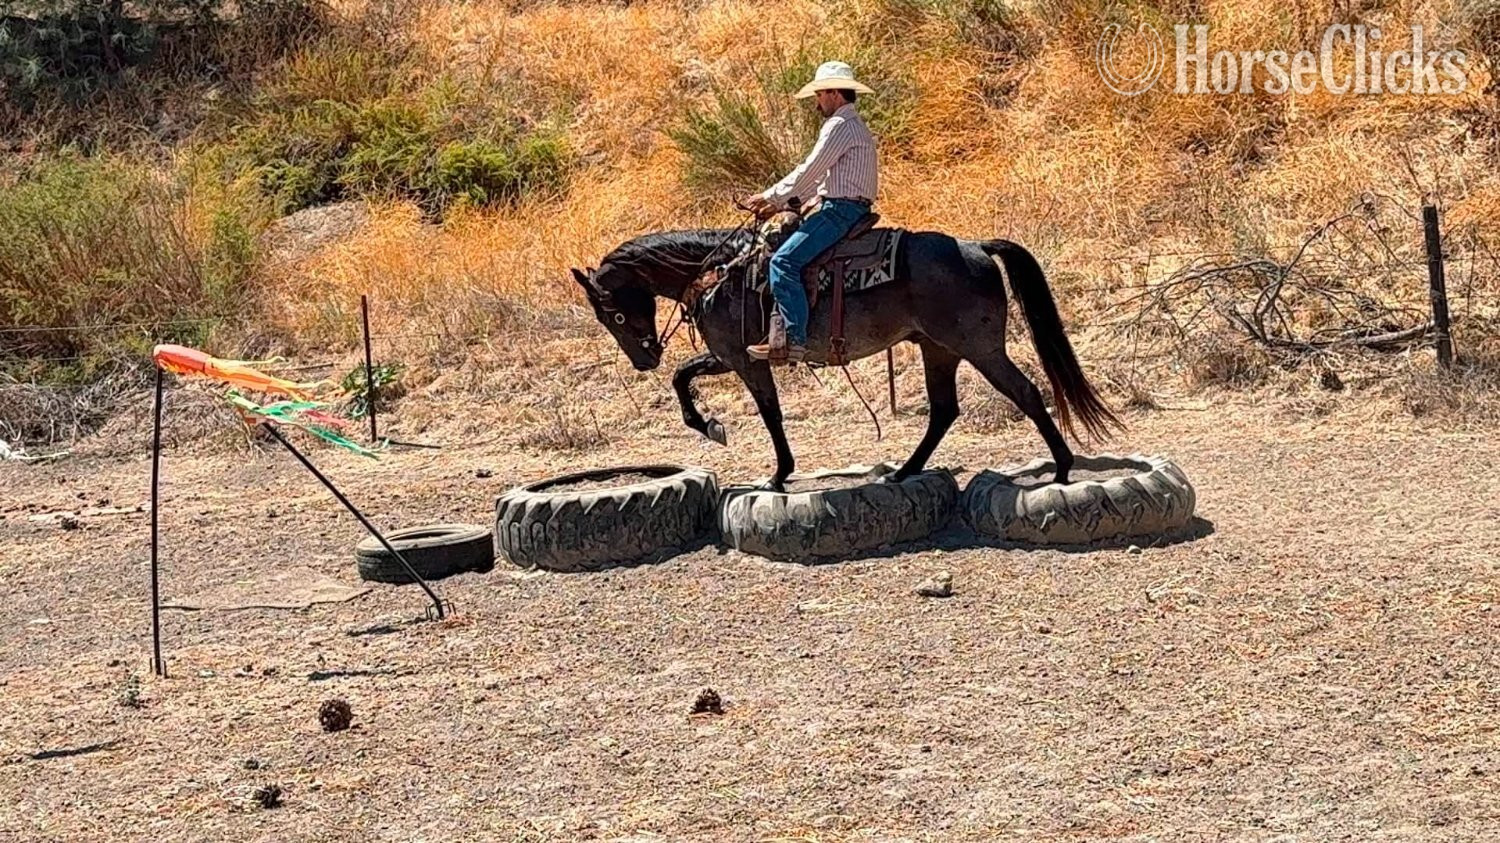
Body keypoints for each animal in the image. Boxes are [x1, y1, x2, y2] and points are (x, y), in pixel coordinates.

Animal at [569, 220, 1122, 492]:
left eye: (611, 314)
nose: (643, 360)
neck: (718, 271)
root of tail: (976, 246)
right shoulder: (727, 357)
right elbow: (684, 379)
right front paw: (712, 427)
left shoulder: (744, 359)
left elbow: (766, 413)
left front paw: (774, 470)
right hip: (939, 350)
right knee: (944, 411)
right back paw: (903, 471)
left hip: (979, 348)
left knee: (1025, 393)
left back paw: (1063, 468)